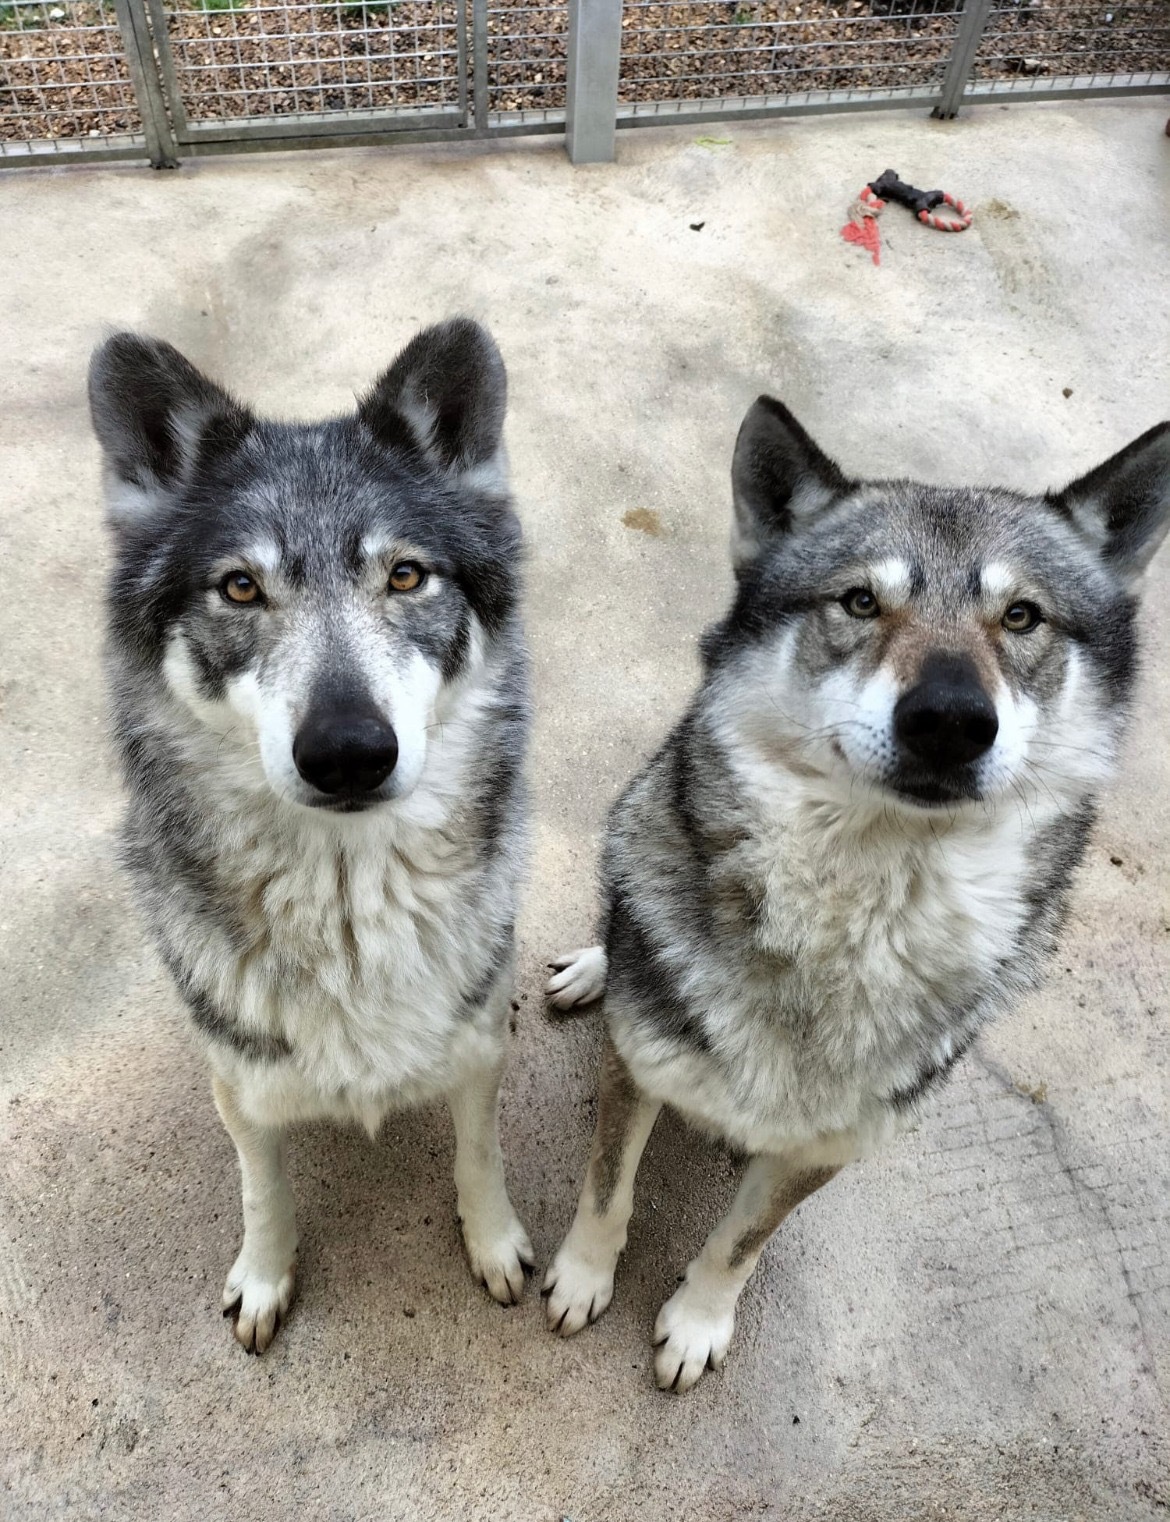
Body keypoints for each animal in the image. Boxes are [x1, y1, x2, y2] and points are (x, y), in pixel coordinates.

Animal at [93, 315, 532, 1351]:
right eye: (241, 589)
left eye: (405, 575)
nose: (346, 753)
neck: (348, 906)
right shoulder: (241, 1087)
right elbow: (264, 1193)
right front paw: (265, 1279)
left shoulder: (479, 1050)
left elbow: (481, 1157)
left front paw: (493, 1243)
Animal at [544, 395, 1168, 1394]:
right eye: (860, 601)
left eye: (1022, 616)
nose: (949, 720)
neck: (863, 904)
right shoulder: (637, 1070)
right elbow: (607, 1192)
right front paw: (581, 1279)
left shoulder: (830, 1147)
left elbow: (740, 1244)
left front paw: (696, 1323)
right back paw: (599, 964)